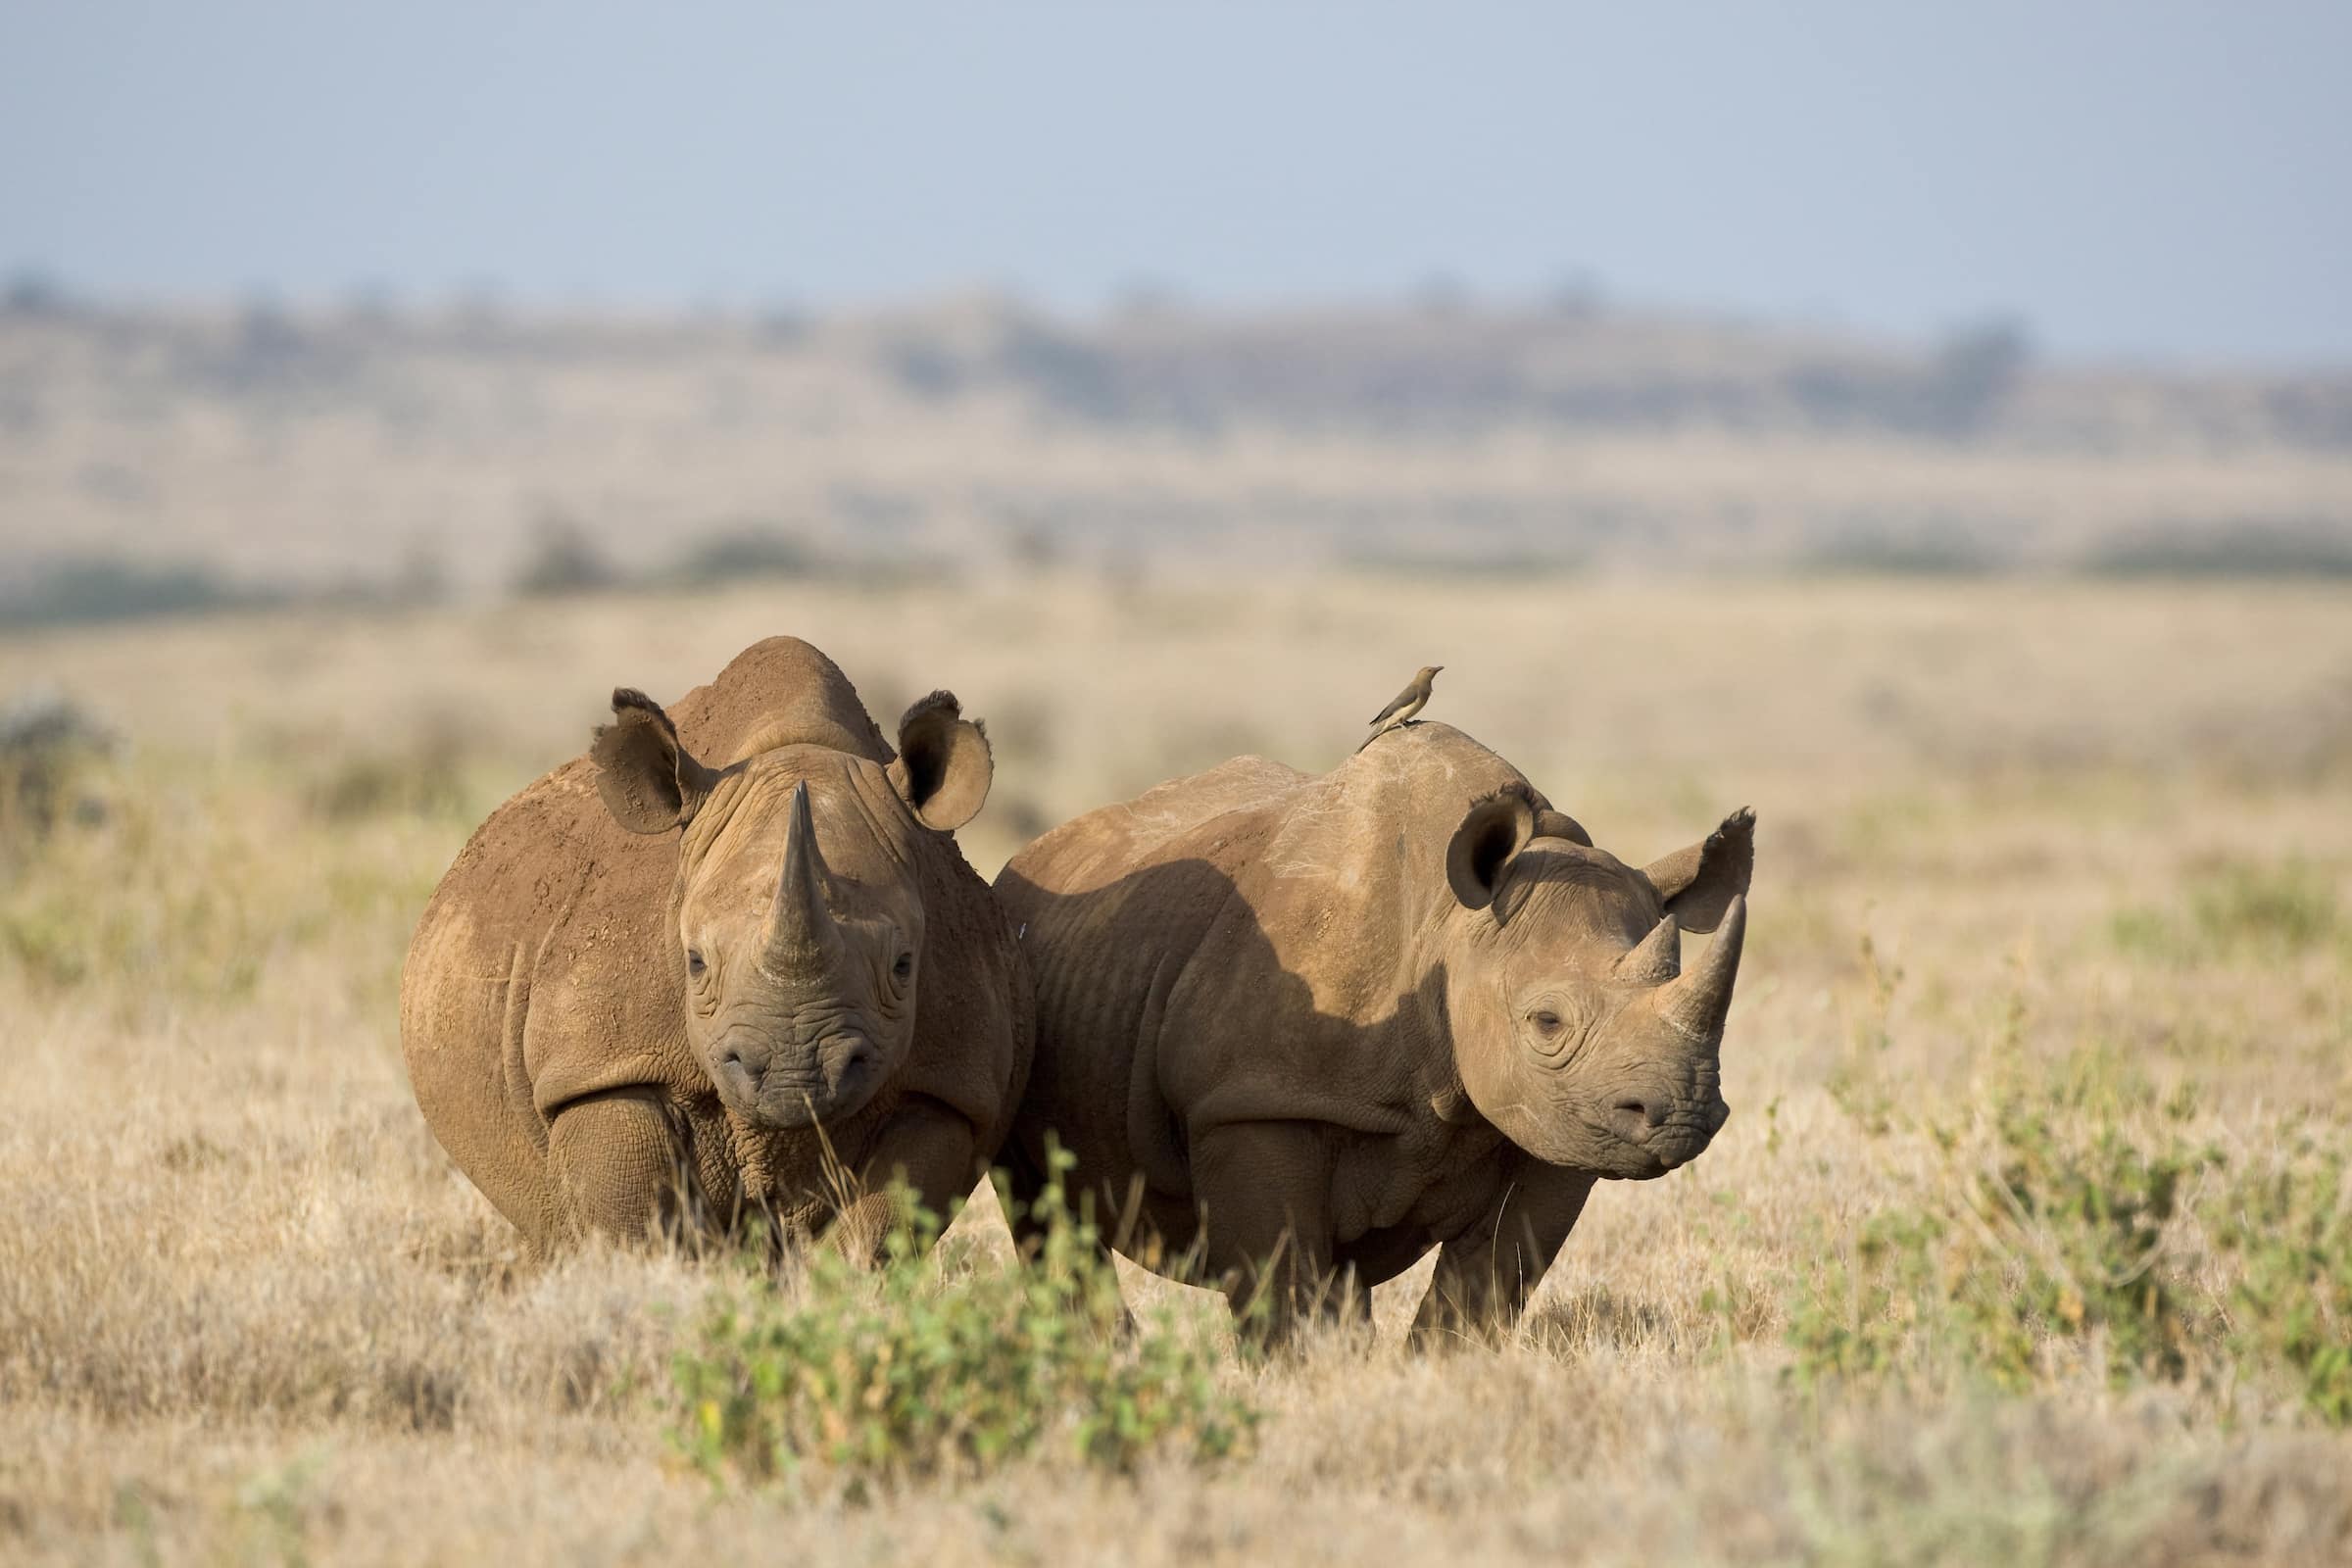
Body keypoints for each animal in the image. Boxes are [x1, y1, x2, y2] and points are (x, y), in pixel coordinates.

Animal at [401, 637, 1032, 1253]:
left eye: (904, 966)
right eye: (695, 963)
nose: (795, 1078)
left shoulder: (946, 1088)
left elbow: (877, 1234)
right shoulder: (602, 1068)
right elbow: (628, 1230)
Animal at [993, 721, 1751, 1340]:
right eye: (1547, 1022)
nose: (1683, 1115)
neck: (1448, 927)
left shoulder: (1556, 1125)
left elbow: (1485, 1291)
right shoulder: (1254, 1101)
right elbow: (1283, 1288)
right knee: (1045, 1213)